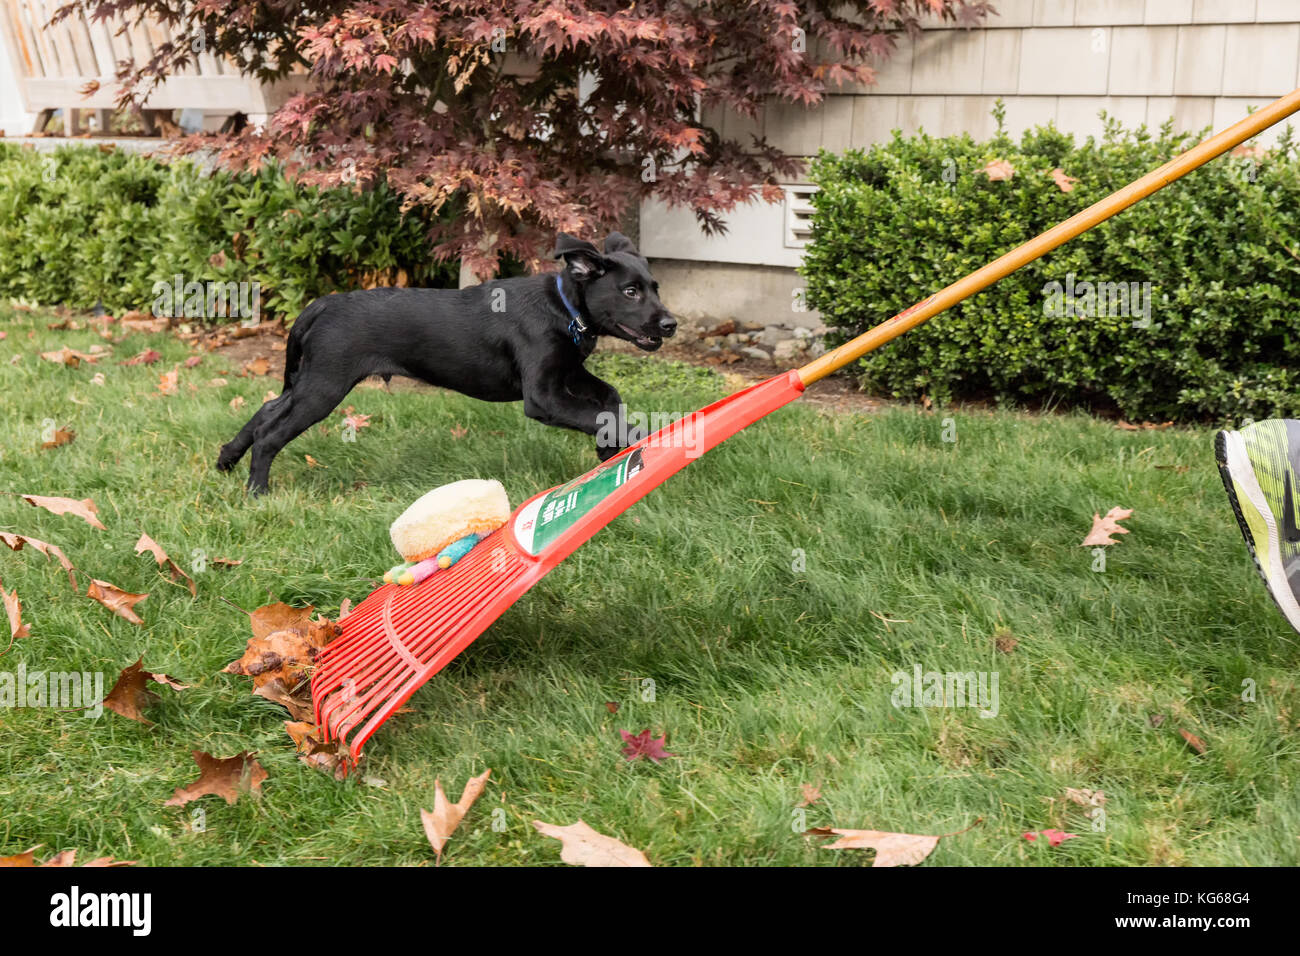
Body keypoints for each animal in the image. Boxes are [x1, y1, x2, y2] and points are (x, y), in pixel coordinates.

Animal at [214, 234, 676, 494]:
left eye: (655, 287)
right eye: (631, 291)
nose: (670, 324)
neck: (563, 307)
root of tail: (322, 304)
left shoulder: (568, 372)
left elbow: (609, 399)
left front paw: (607, 450)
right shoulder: (542, 397)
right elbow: (602, 415)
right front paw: (635, 442)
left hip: (308, 380)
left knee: (265, 411)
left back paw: (226, 462)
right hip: (325, 385)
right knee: (271, 434)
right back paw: (257, 492)